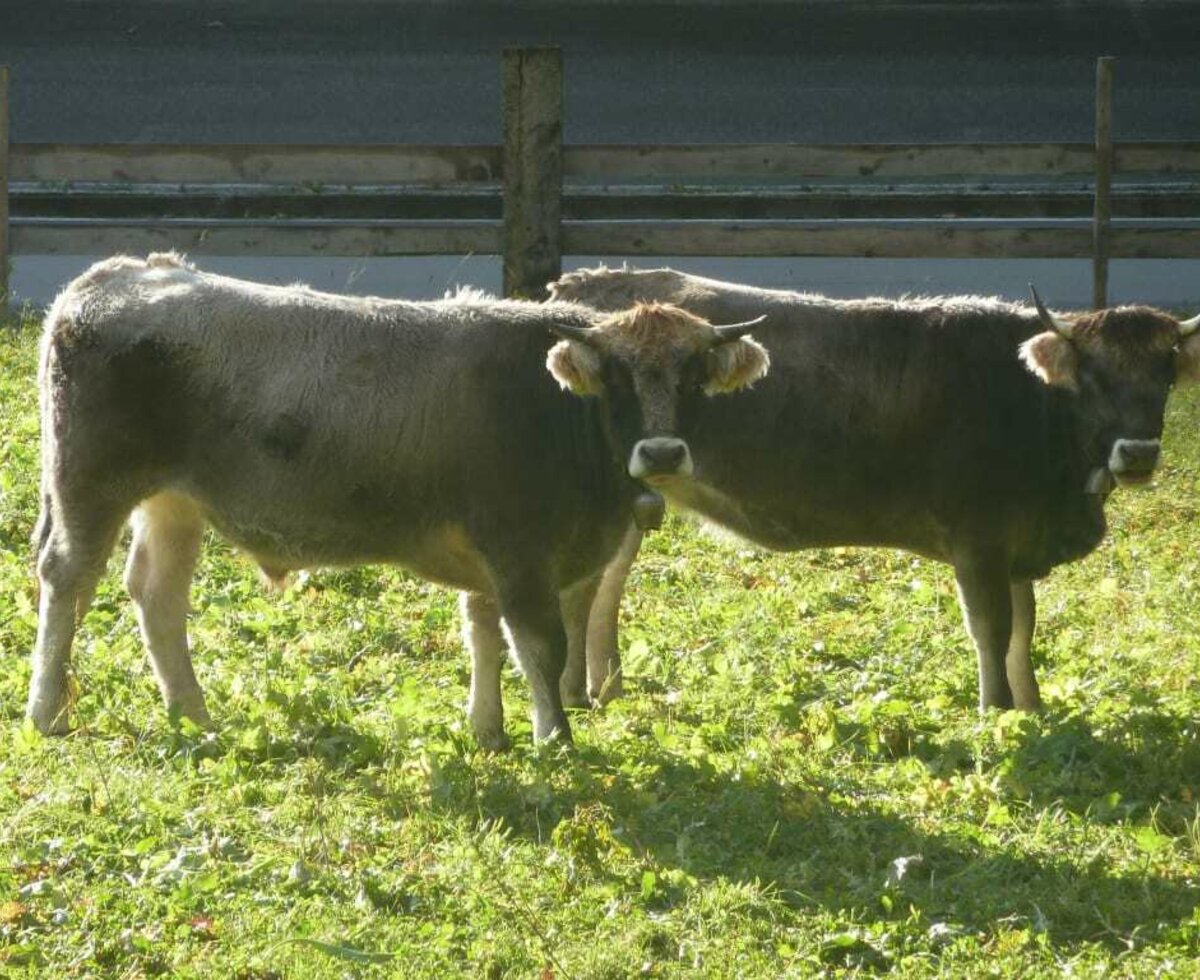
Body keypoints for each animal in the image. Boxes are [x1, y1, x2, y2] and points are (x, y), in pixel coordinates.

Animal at [25, 254, 768, 748]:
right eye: (615, 378)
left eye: (694, 377)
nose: (663, 453)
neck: (556, 411)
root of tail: (117, 274)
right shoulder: (520, 550)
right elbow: (540, 646)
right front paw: (553, 738)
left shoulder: (493, 558)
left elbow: (483, 635)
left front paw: (488, 730)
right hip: (89, 485)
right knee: (69, 579)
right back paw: (47, 712)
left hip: (173, 501)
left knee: (158, 595)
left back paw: (193, 715)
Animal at [549, 267, 1200, 710]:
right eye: (1092, 375)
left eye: (1164, 375)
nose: (1138, 453)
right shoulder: (979, 540)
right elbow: (992, 627)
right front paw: (996, 709)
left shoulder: (1016, 542)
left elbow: (1025, 626)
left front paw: (1031, 705)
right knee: (588, 589)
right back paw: (581, 692)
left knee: (604, 587)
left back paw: (605, 686)